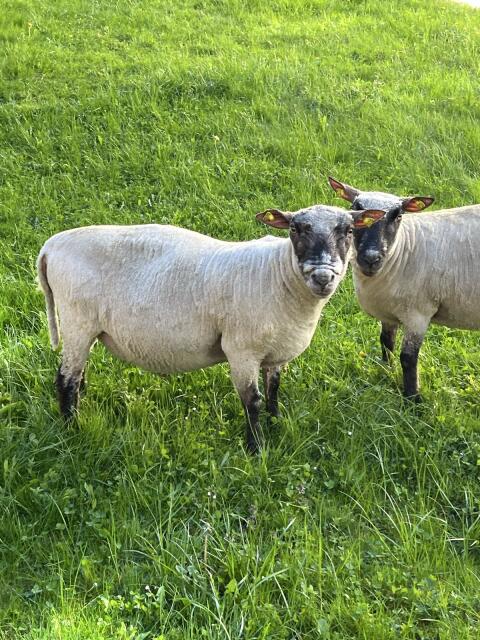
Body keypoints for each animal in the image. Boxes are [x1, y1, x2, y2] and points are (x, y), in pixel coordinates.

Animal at [37, 205, 354, 452]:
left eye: (348, 231)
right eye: (296, 229)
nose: (323, 275)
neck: (278, 274)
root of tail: (51, 246)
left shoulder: (275, 352)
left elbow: (273, 389)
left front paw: (277, 422)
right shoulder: (241, 349)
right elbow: (252, 401)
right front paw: (256, 449)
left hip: (86, 328)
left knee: (78, 375)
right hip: (76, 320)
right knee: (65, 379)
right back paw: (72, 429)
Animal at [329, 176, 480, 402]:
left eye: (398, 215)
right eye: (356, 208)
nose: (371, 258)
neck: (404, 249)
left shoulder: (419, 314)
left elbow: (408, 357)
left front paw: (412, 399)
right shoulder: (388, 312)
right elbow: (386, 342)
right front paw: (386, 370)